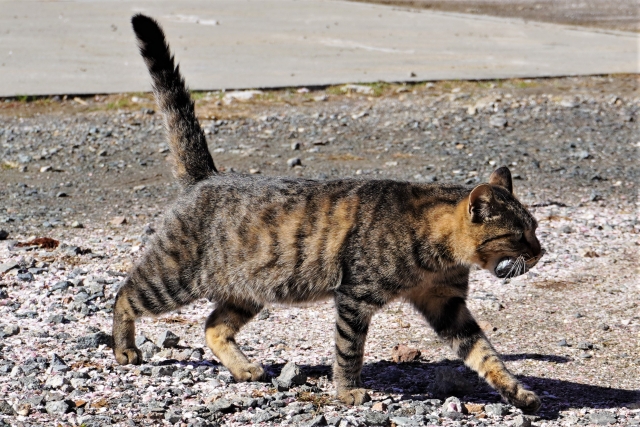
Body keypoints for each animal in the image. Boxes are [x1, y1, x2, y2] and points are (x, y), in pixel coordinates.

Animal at [115, 15, 544, 412]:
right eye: (518, 234)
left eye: (536, 227)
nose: (540, 251)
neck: (435, 251)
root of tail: (207, 176)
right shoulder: (355, 297)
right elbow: (348, 350)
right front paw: (347, 390)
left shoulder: (447, 304)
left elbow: (485, 353)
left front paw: (517, 392)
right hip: (174, 278)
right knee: (125, 294)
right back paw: (124, 349)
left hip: (248, 290)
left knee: (213, 327)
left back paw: (244, 368)